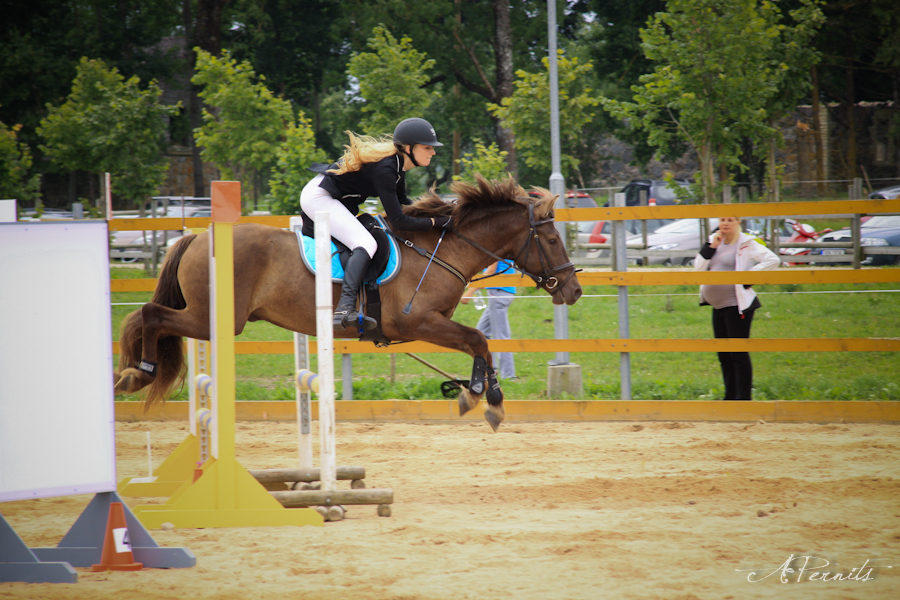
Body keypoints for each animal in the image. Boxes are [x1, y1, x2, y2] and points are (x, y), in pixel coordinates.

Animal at [114, 175, 583, 430]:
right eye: (552, 240)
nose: (573, 291)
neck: (442, 249)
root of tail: (196, 237)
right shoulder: (419, 322)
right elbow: (478, 341)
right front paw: (487, 399)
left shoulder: (430, 325)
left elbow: (479, 344)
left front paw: (476, 393)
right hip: (217, 319)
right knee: (150, 315)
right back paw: (137, 373)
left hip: (212, 318)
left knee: (148, 317)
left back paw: (132, 373)